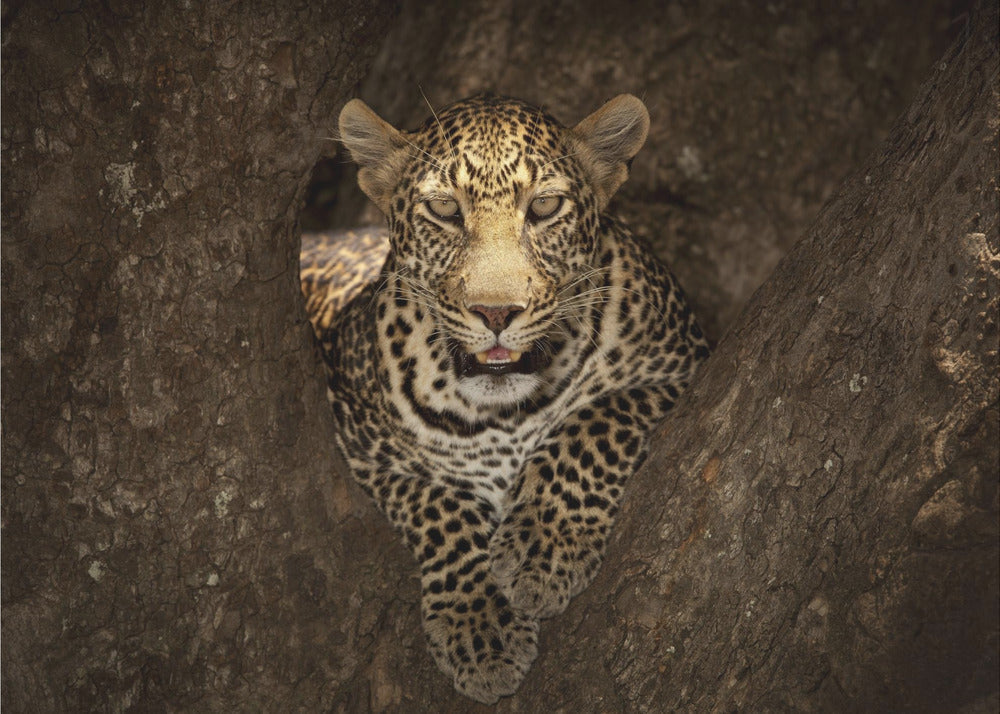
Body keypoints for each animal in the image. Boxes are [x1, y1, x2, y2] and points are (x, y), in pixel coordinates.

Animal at [300, 93, 709, 703]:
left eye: (545, 206)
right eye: (445, 210)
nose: (496, 313)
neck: (504, 413)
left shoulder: (682, 365)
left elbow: (593, 422)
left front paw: (544, 546)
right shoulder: (360, 444)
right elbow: (438, 505)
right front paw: (481, 627)